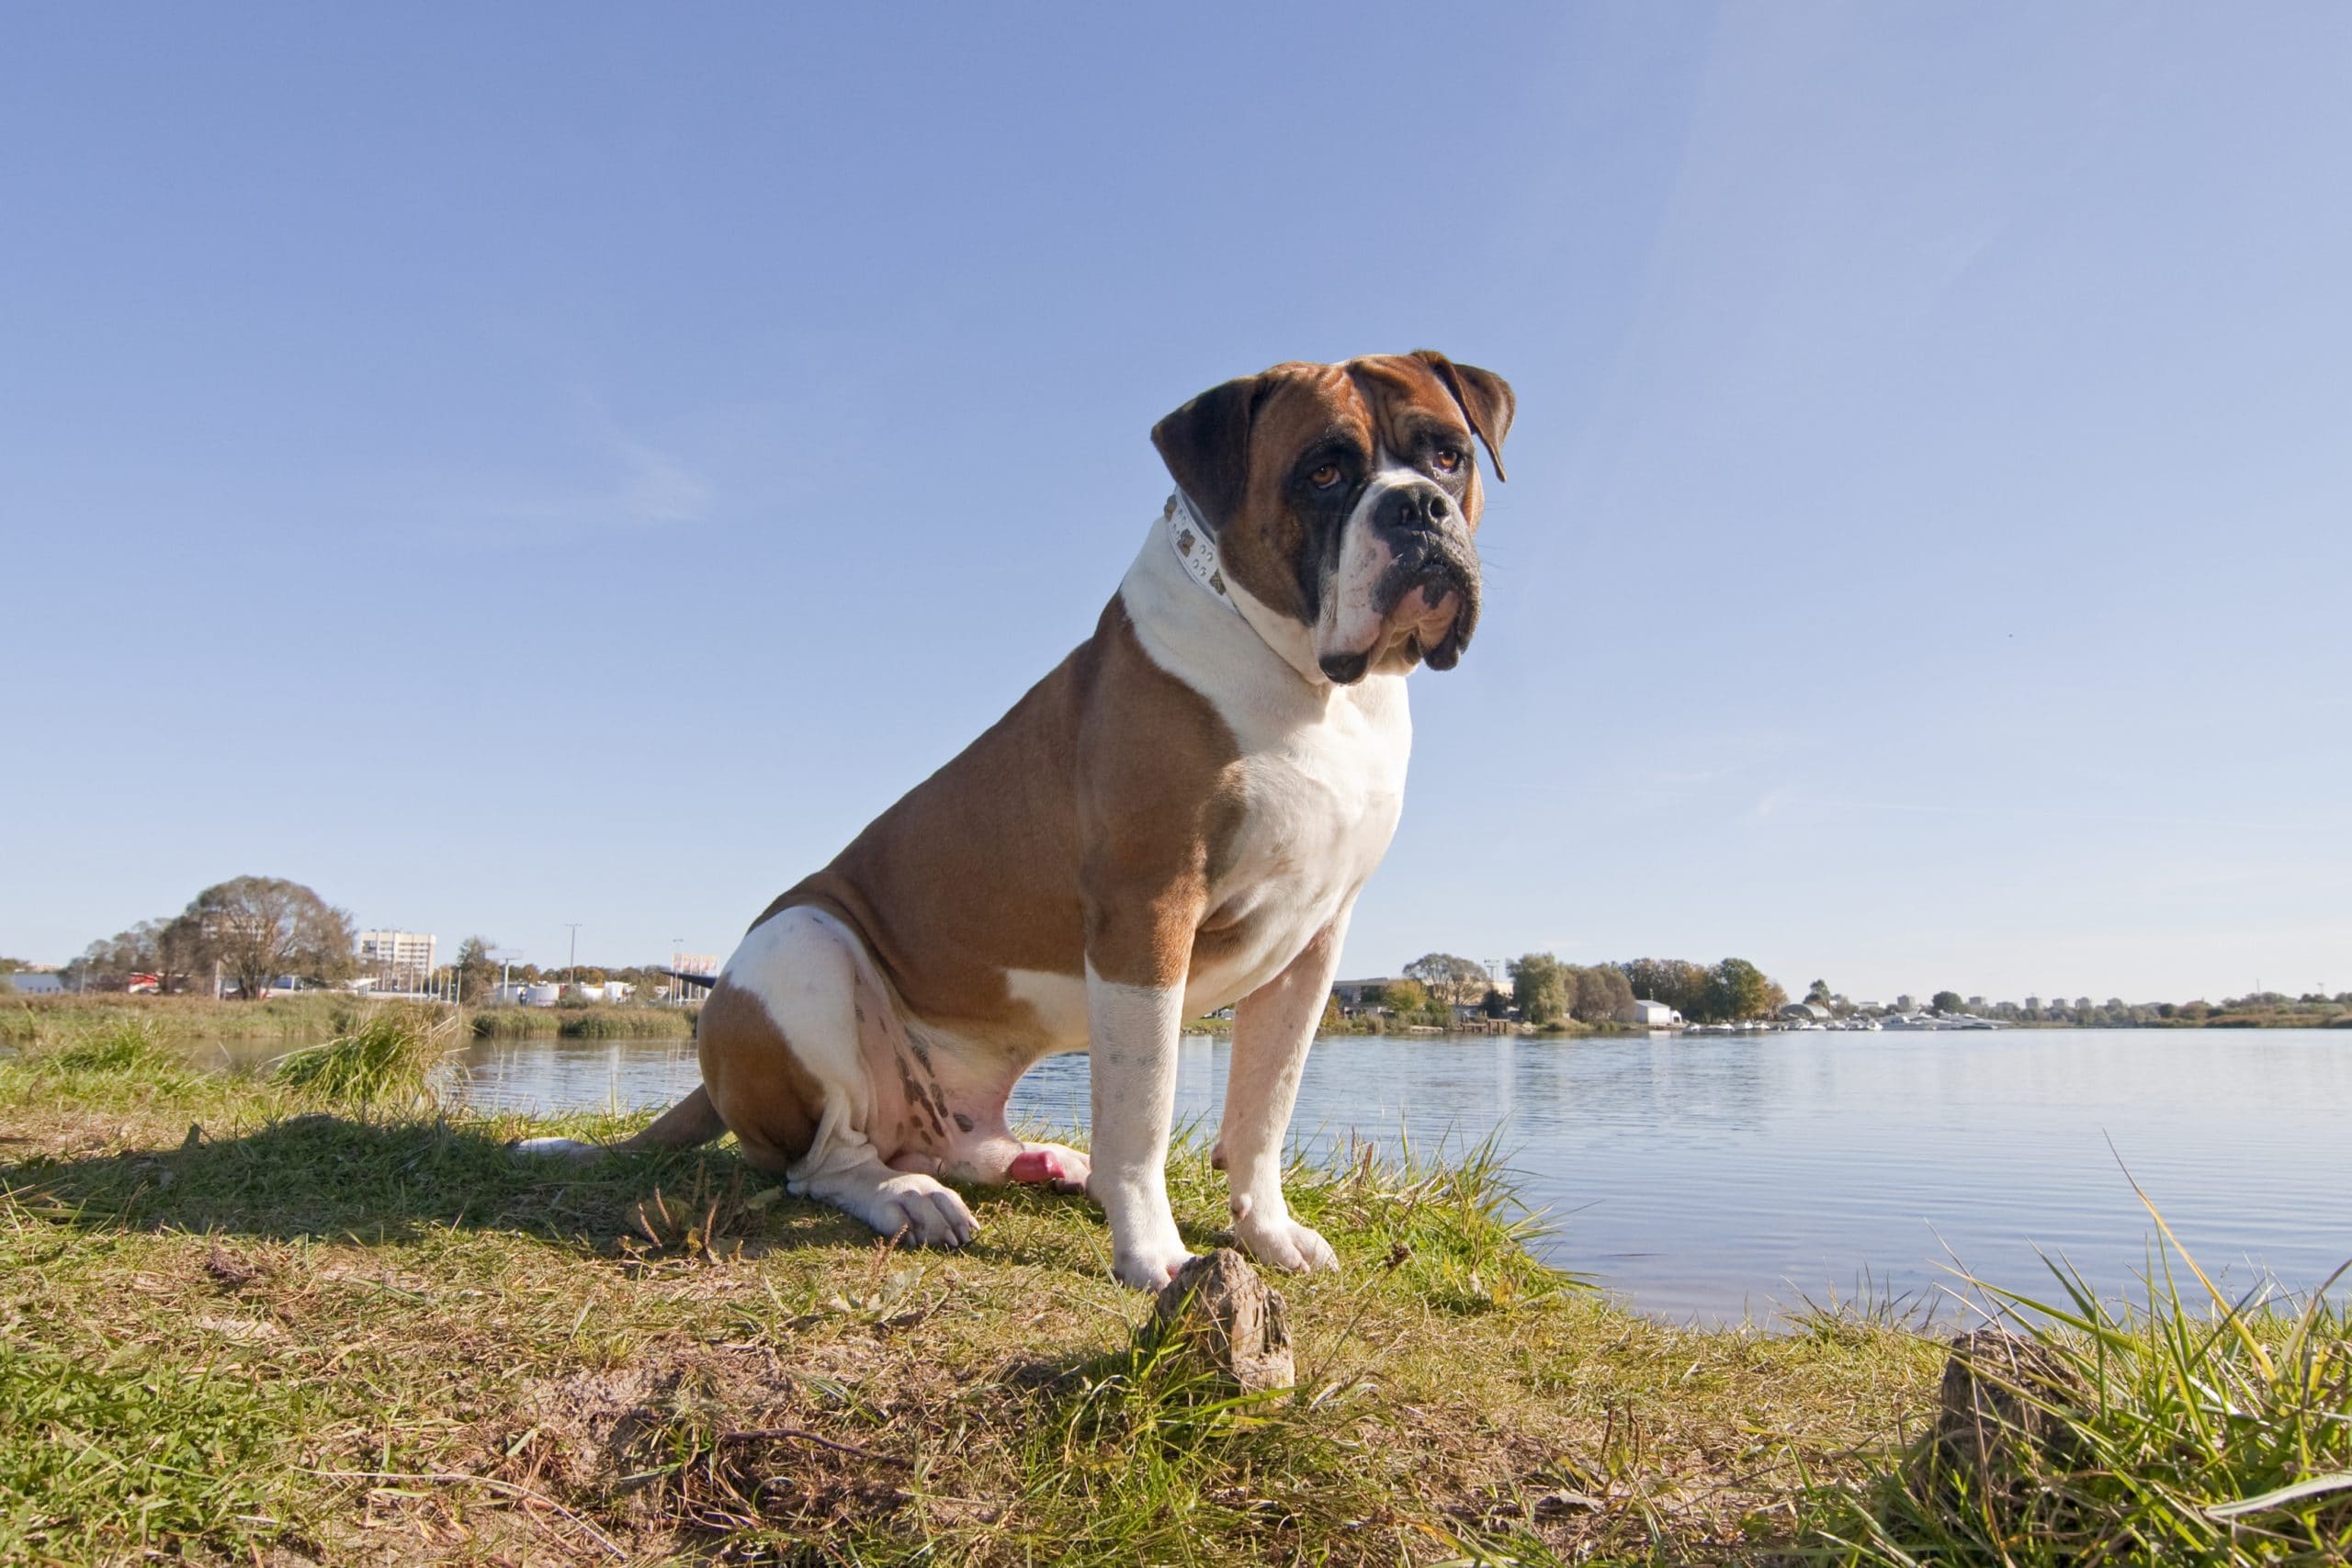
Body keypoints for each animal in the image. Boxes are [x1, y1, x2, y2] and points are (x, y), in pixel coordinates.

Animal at [513, 352, 1505, 1288]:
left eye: (1447, 456)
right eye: (1324, 473)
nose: (1417, 509)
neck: (1309, 682)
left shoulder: (1313, 943)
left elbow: (1266, 1102)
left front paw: (1267, 1234)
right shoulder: (1148, 912)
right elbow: (1142, 1110)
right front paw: (1153, 1254)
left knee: (952, 1143)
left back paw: (1038, 1160)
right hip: (800, 948)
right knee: (822, 1161)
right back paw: (907, 1197)